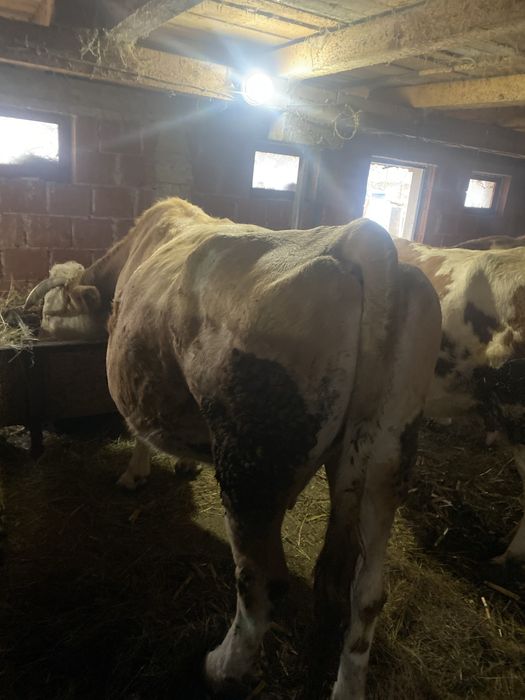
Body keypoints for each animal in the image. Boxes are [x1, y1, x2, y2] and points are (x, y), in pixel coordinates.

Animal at [24, 198, 441, 698]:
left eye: (50, 313)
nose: (37, 338)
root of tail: (360, 239)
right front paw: (183, 465)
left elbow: (140, 425)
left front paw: (134, 474)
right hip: (388, 459)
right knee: (367, 593)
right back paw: (347, 686)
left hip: (249, 469)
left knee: (262, 579)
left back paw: (221, 668)